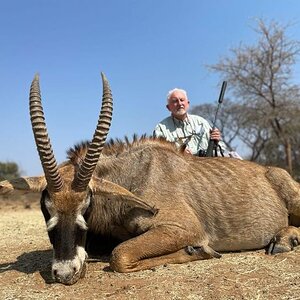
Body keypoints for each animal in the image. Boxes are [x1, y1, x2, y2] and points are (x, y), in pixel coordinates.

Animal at [0, 74, 300, 284]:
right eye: (46, 208)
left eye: (86, 205)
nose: (64, 273)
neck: (133, 177)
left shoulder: (183, 228)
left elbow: (120, 255)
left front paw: (197, 250)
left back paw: (284, 239)